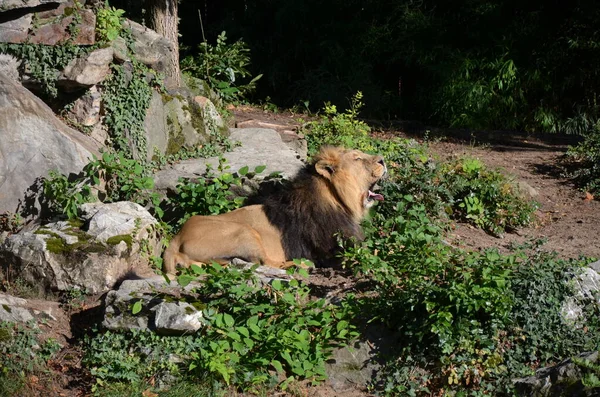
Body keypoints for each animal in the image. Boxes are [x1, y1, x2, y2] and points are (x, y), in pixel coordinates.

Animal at [162, 145, 386, 272]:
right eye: (357, 158)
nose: (383, 160)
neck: (336, 198)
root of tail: (177, 238)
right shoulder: (334, 247)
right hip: (245, 232)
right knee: (262, 263)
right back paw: (300, 265)